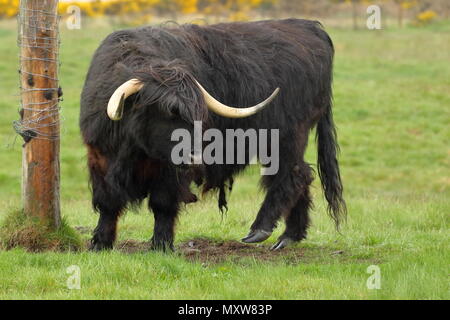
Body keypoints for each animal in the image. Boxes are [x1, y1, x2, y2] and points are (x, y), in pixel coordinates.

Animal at [81, 18, 346, 251]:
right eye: (165, 113)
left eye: (198, 115)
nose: (196, 157)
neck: (133, 150)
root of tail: (308, 26)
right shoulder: (99, 158)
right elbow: (108, 202)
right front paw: (101, 243)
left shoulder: (170, 172)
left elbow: (162, 203)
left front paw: (161, 245)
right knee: (300, 174)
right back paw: (289, 236)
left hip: (287, 136)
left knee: (292, 174)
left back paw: (260, 230)